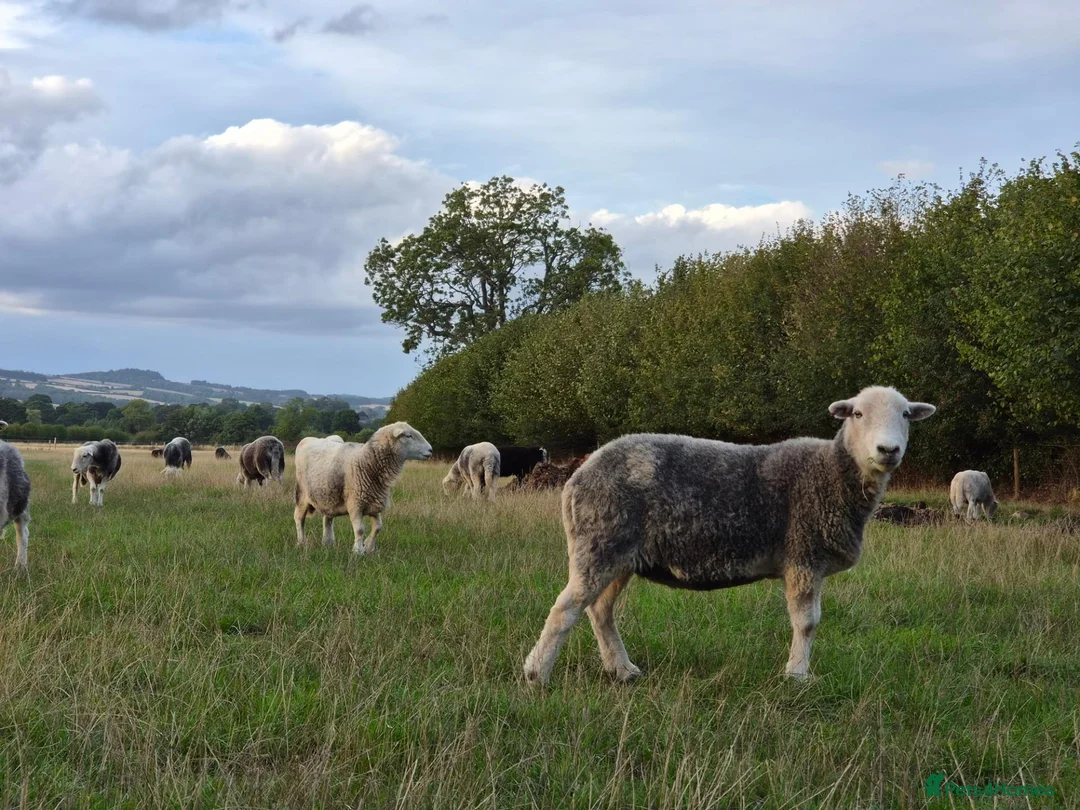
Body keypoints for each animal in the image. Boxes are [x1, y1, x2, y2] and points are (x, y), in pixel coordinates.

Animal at [294, 422, 432, 555]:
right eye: (409, 436)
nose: (430, 450)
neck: (367, 462)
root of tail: (309, 439)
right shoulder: (355, 504)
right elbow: (360, 529)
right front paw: (358, 551)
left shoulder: (373, 501)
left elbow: (378, 527)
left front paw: (369, 547)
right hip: (302, 495)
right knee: (299, 518)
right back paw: (301, 542)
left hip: (329, 494)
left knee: (328, 519)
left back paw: (328, 543)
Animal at [523, 386, 935, 687]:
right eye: (858, 414)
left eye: (905, 415)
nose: (888, 449)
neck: (832, 473)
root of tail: (578, 476)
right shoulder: (804, 555)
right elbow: (807, 622)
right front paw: (798, 676)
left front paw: (797, 672)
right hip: (598, 543)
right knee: (565, 610)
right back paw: (537, 675)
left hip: (619, 555)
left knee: (600, 611)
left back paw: (621, 670)